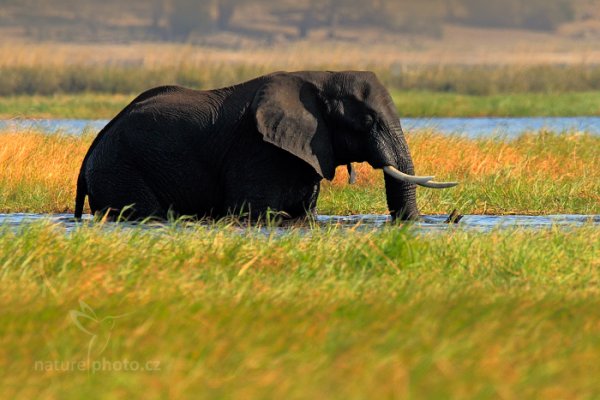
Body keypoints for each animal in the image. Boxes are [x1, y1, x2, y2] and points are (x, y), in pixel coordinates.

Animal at [75, 72, 458, 222]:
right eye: (366, 121)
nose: (453, 217)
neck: (321, 78)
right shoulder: (256, 149)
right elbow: (257, 212)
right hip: (121, 169)